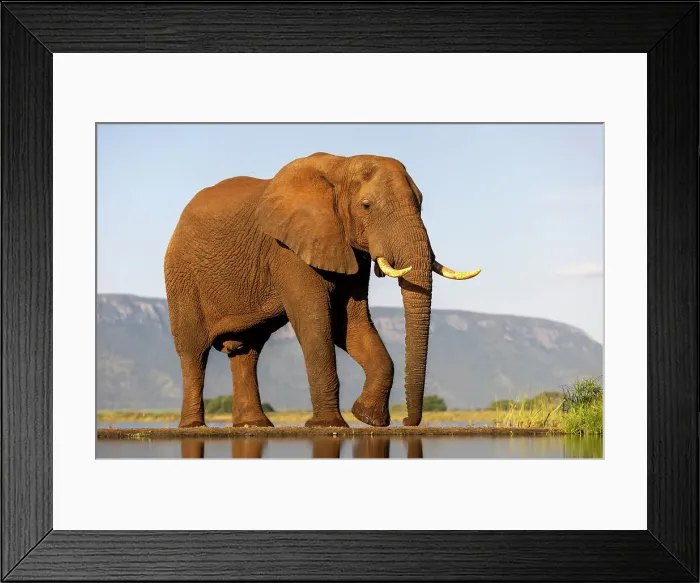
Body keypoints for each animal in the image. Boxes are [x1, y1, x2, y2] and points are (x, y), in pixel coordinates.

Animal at [164, 152, 480, 429]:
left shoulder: (347, 248)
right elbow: (315, 322)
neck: (341, 167)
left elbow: (349, 322)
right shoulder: (288, 248)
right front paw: (329, 424)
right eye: (366, 206)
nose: (406, 422)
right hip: (182, 275)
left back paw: (255, 425)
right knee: (193, 352)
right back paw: (193, 426)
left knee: (247, 350)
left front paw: (367, 418)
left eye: (421, 204)